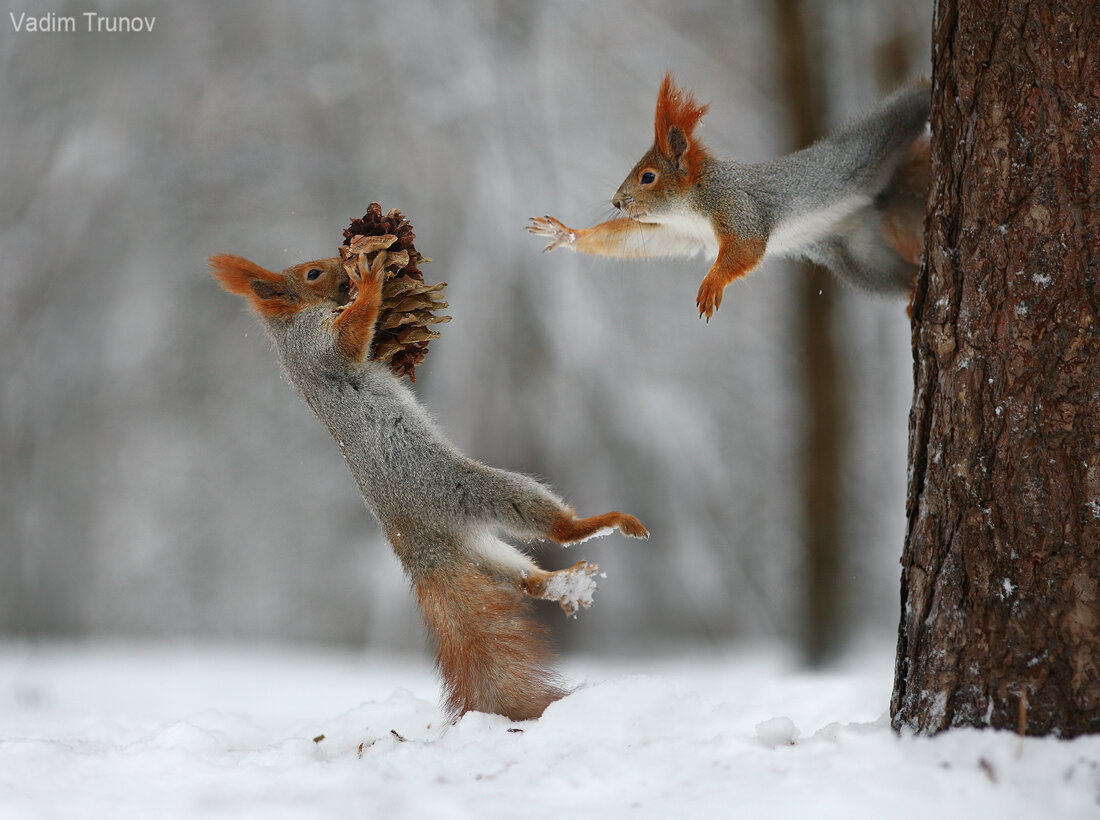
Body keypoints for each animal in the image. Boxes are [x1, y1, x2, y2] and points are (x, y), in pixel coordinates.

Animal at [208, 252, 648, 721]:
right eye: (312, 274)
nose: (342, 264)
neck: (289, 325)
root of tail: (412, 539)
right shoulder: (316, 345)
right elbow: (348, 339)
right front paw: (371, 281)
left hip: (477, 550)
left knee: (523, 582)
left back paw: (562, 585)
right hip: (479, 491)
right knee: (556, 529)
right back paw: (608, 523)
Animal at [528, 74, 930, 320]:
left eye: (647, 177)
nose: (616, 202)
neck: (690, 204)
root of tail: (879, 197)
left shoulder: (736, 204)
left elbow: (747, 245)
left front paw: (712, 283)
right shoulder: (678, 232)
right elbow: (628, 240)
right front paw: (566, 234)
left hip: (873, 139)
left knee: (914, 101)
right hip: (858, 258)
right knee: (895, 276)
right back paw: (913, 291)